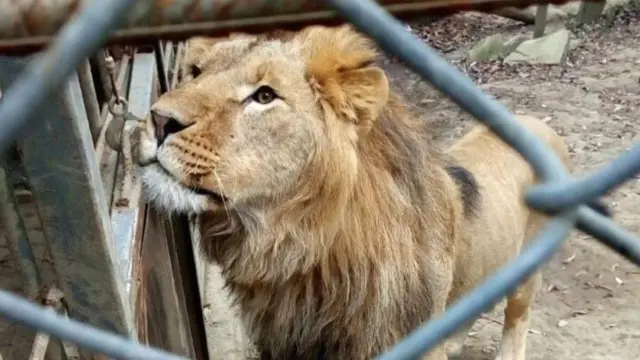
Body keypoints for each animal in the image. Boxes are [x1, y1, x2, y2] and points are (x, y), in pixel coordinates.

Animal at [136, 25, 600, 360]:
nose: (157, 119)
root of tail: (539, 126)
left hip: (528, 273)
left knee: (517, 317)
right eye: (197, 72)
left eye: (264, 96)